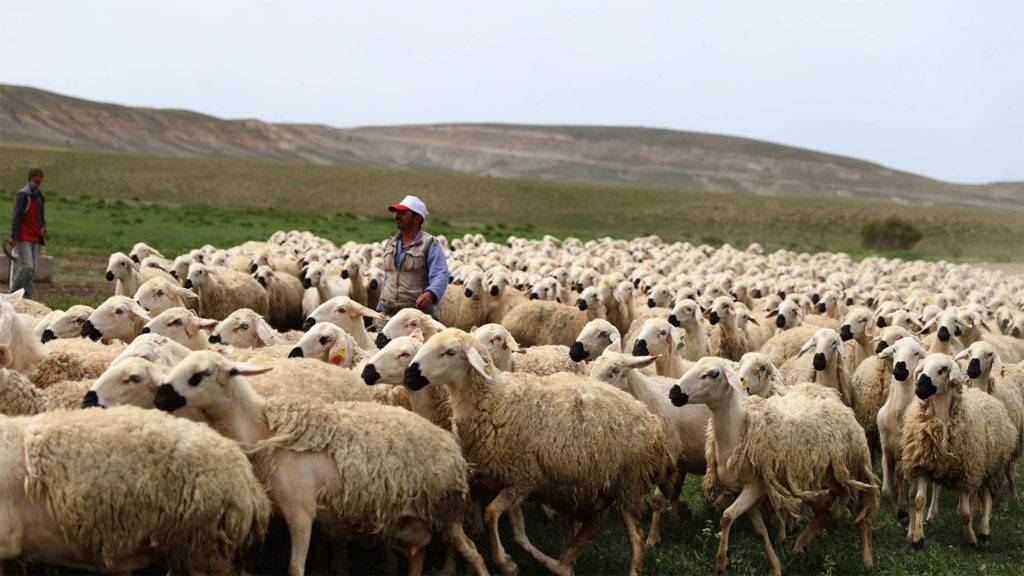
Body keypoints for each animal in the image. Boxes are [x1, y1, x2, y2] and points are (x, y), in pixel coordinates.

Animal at [403, 327, 667, 573]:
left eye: (450, 352)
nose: (409, 375)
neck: (495, 401)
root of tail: (648, 415)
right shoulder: (511, 480)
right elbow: (518, 534)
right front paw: (510, 563)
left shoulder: (522, 479)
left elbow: (490, 514)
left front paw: (504, 561)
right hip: (588, 486)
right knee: (591, 525)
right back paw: (565, 561)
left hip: (625, 482)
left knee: (635, 538)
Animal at [671, 356, 880, 569]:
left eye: (713, 374)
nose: (674, 392)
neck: (738, 427)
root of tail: (840, 405)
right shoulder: (745, 489)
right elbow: (759, 531)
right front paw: (776, 566)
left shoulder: (755, 486)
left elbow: (727, 516)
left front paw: (722, 563)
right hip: (812, 481)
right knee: (823, 514)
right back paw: (800, 546)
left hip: (847, 472)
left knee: (860, 511)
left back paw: (868, 559)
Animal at [905, 352, 1015, 545]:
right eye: (922, 367)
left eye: (943, 369)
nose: (919, 387)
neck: (942, 422)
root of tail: (982, 393)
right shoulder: (923, 465)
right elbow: (919, 501)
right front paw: (918, 538)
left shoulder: (967, 472)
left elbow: (965, 513)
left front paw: (971, 539)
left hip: (990, 467)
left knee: (988, 499)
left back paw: (984, 531)